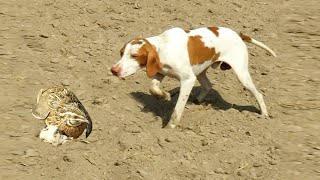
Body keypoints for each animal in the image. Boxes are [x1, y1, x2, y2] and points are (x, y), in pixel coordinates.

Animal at [111, 26, 276, 128]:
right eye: (121, 53)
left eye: (134, 55)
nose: (114, 70)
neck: (164, 46)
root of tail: (238, 34)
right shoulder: (159, 72)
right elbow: (153, 87)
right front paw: (165, 96)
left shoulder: (188, 80)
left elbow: (177, 109)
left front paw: (170, 128)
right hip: (200, 71)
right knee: (208, 85)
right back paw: (197, 100)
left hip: (241, 74)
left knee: (258, 94)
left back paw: (264, 115)